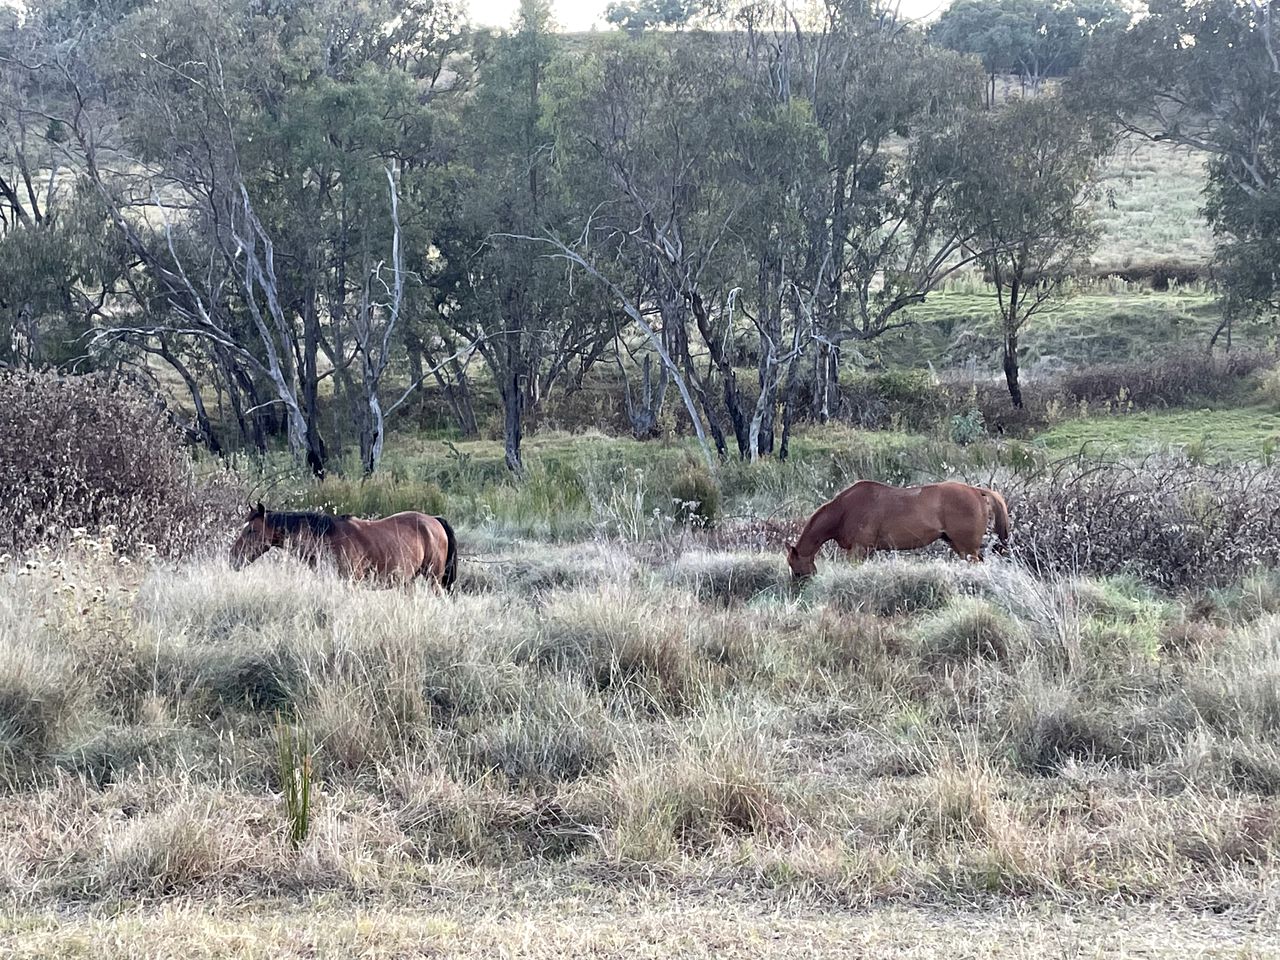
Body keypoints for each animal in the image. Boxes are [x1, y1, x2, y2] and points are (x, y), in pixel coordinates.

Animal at [783, 481, 1003, 578]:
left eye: (796, 569)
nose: (798, 588)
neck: (844, 510)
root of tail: (977, 491)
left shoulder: (859, 550)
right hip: (960, 546)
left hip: (967, 549)